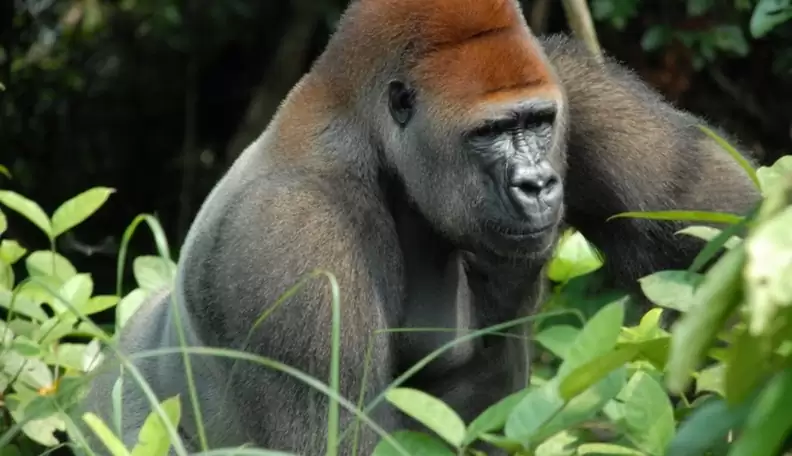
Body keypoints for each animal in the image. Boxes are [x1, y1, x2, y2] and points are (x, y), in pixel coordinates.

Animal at [73, 0, 760, 455]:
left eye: (538, 122)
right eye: (488, 132)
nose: (537, 184)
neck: (370, 137)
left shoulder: (571, 83)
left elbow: (724, 230)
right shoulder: (293, 239)